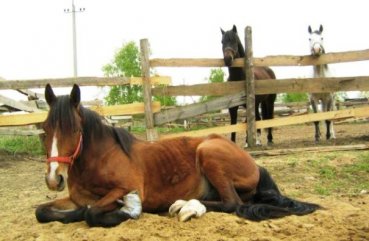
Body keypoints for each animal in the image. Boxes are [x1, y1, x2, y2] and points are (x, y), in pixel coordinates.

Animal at [36, 84, 320, 227]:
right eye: (46, 129)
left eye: (74, 130)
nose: (54, 179)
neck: (99, 159)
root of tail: (255, 165)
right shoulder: (75, 198)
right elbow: (43, 211)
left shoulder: (126, 188)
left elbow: (92, 213)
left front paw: (127, 212)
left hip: (208, 153)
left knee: (231, 203)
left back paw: (185, 206)